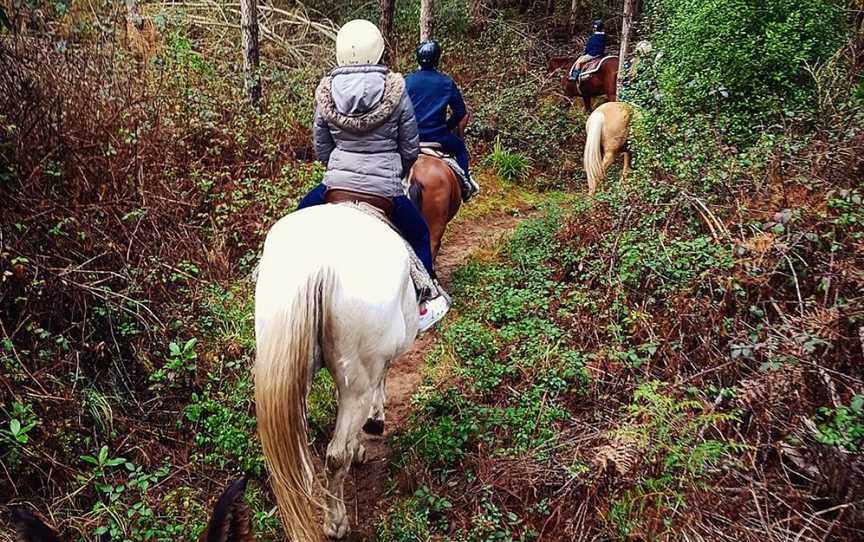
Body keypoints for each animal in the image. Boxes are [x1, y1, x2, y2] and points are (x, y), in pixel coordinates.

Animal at [253, 203, 418, 540]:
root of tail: (317, 268)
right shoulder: (376, 366)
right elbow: (380, 383)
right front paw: (373, 425)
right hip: (356, 386)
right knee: (335, 456)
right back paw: (337, 522)